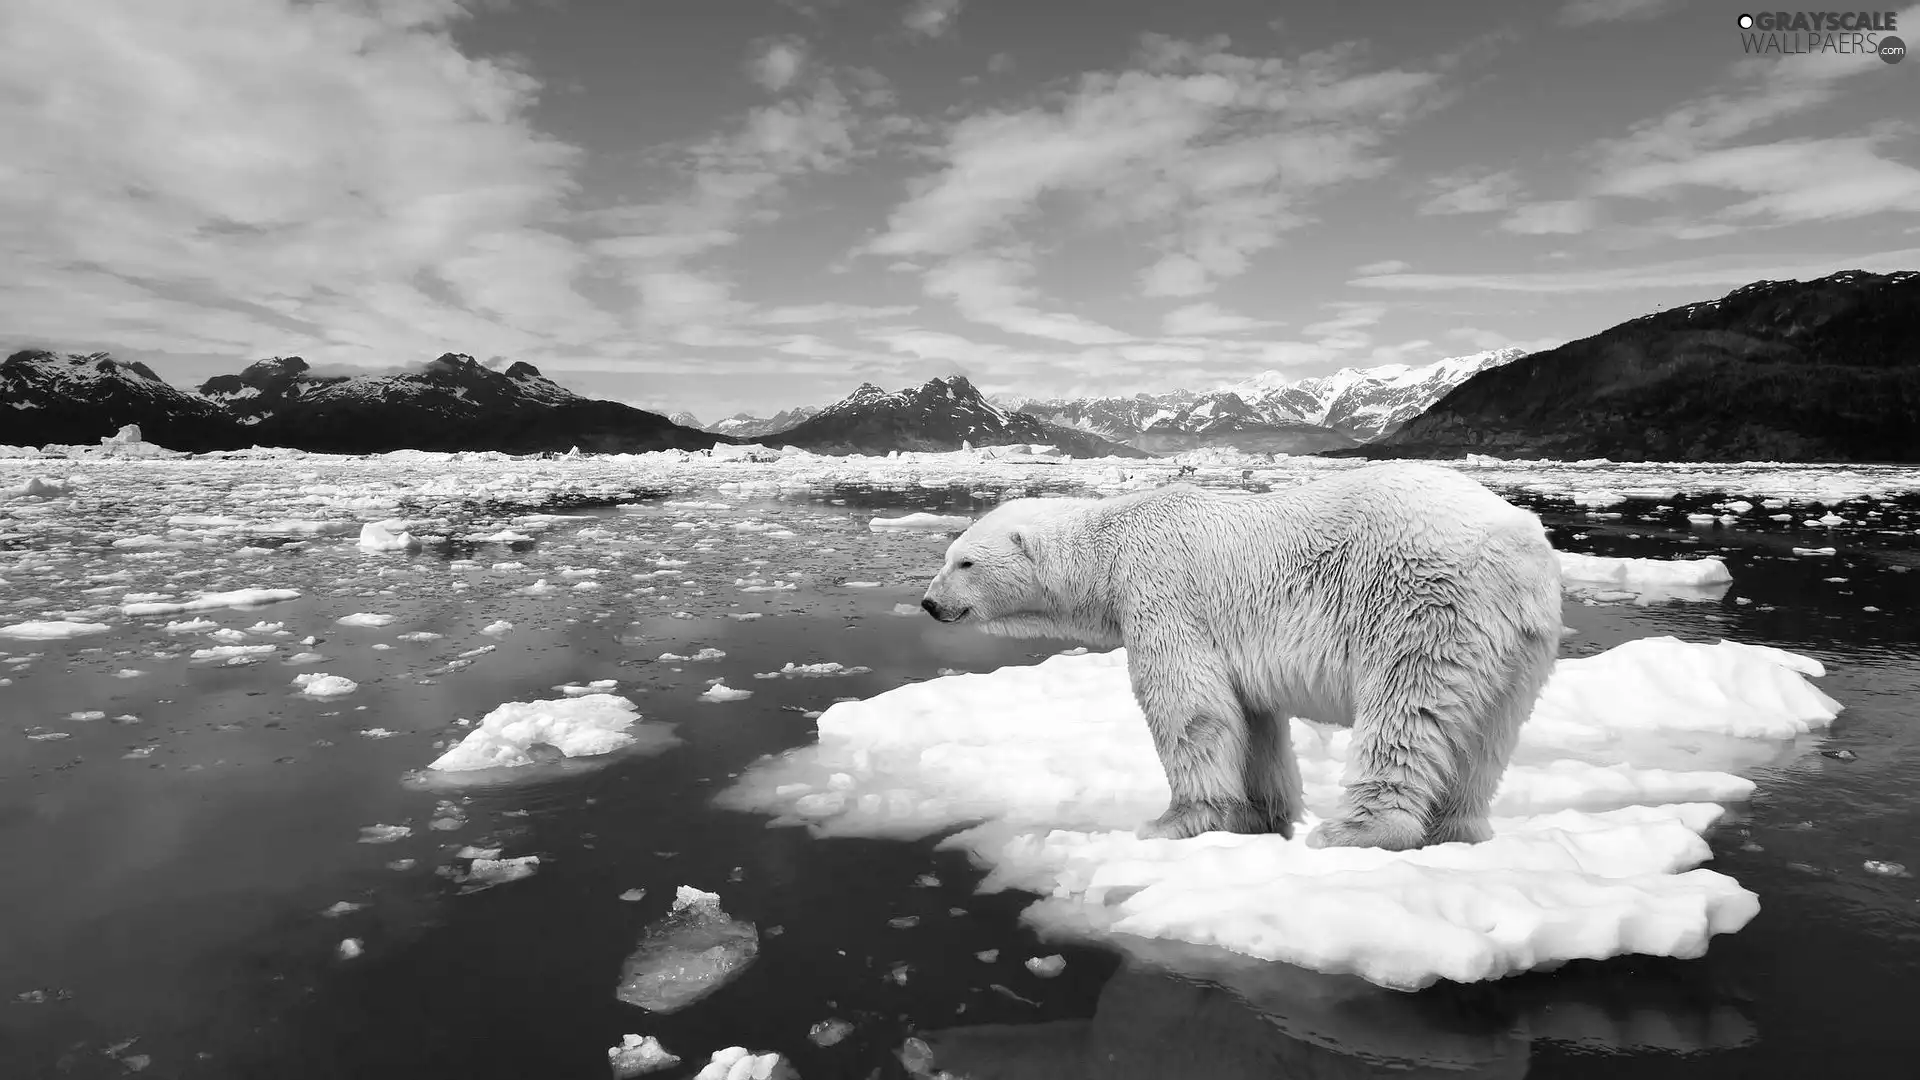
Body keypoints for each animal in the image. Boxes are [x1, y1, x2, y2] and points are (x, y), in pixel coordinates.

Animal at [921, 463, 1566, 849]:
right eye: (949, 555)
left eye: (964, 561)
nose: (928, 603)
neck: (1111, 544)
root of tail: (1520, 541)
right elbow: (1253, 721)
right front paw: (1261, 816)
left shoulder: (1162, 592)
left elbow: (1188, 706)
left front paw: (1174, 821)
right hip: (1522, 643)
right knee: (1488, 735)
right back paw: (1458, 829)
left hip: (1423, 603)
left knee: (1406, 710)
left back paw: (1354, 830)